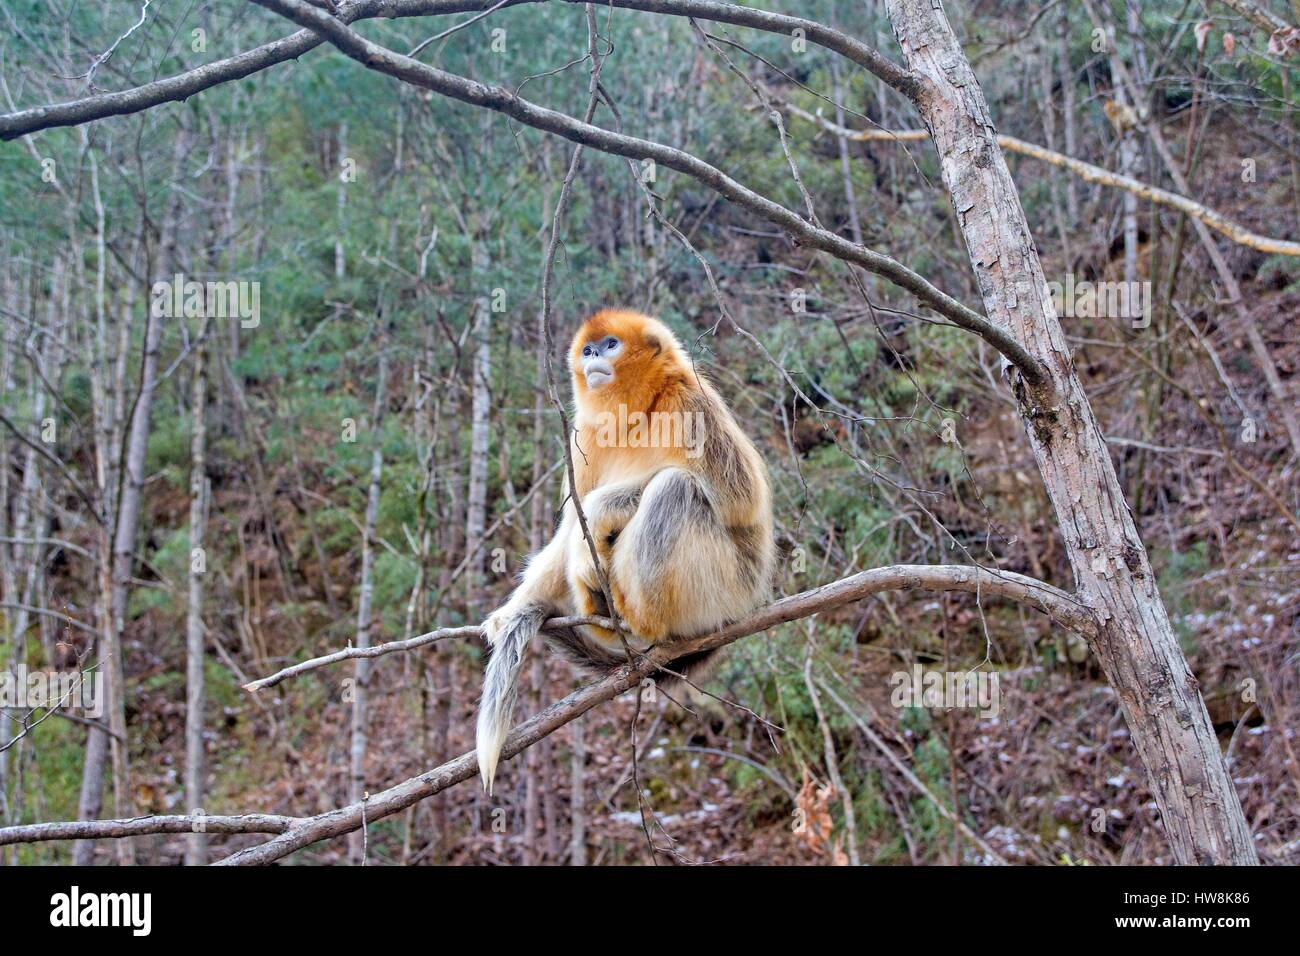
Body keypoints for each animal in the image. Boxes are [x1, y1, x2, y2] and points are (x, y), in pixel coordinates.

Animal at [475, 309, 775, 793]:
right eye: (588, 349)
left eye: (610, 344)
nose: (594, 357)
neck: (639, 413)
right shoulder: (584, 437)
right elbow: (566, 532)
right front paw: (513, 609)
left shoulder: (690, 403)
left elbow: (739, 502)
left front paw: (598, 515)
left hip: (723, 590)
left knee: (675, 487)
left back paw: (640, 620)